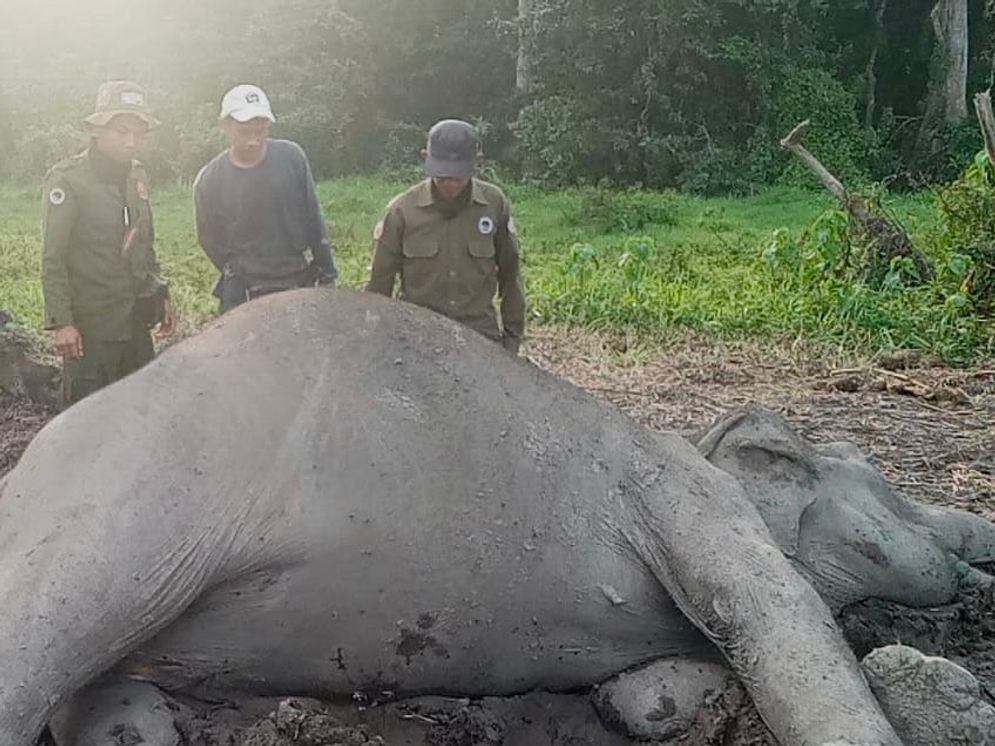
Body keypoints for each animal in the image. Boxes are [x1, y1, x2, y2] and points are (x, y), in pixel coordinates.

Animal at [0, 288, 992, 740]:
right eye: (877, 474)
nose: (971, 540)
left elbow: (654, 692)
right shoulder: (685, 497)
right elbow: (786, 629)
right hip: (132, 502)